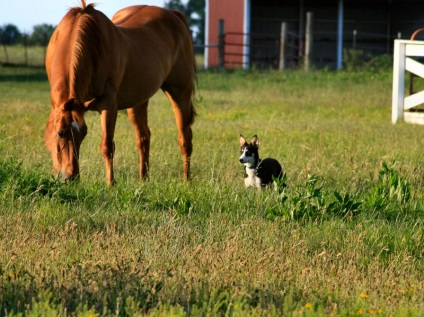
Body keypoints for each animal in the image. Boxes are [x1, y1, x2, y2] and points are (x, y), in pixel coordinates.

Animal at [44, 1, 196, 184]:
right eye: (61, 133)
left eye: (84, 132)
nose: (71, 177)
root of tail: (174, 15)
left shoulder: (108, 104)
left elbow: (107, 145)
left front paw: (110, 183)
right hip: (139, 100)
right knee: (143, 137)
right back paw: (143, 180)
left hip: (180, 95)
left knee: (185, 138)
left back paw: (186, 180)